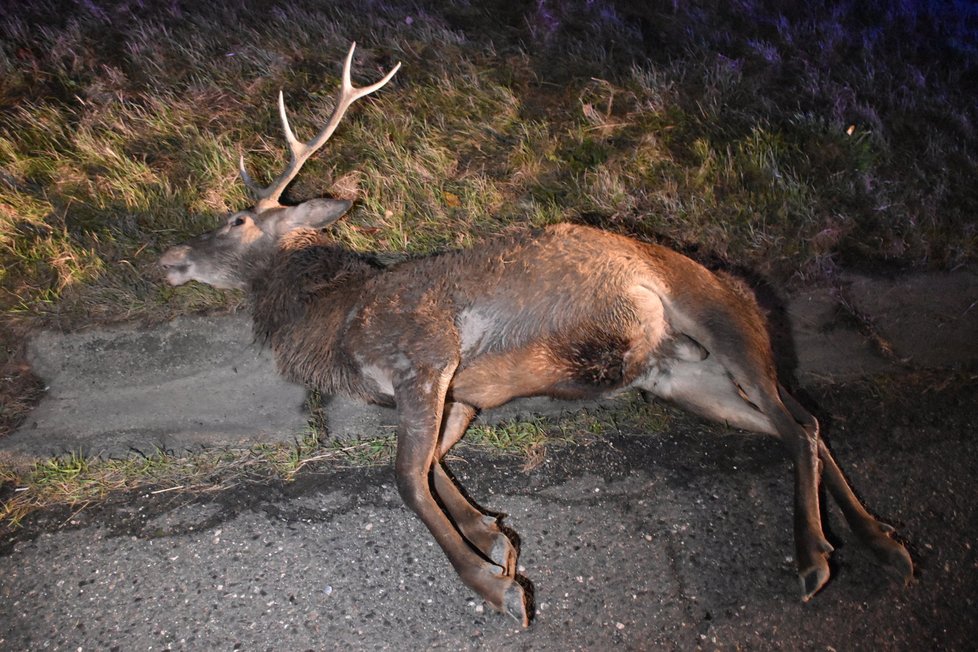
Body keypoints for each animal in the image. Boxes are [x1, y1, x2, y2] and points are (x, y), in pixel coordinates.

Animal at [160, 42, 916, 628]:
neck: (339, 324)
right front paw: (494, 535)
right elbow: (435, 465)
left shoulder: (425, 354)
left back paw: (816, 556)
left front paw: (497, 587)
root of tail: (740, 285)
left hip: (721, 317)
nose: (167, 258)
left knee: (798, 422)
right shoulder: (461, 397)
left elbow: (406, 477)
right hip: (682, 378)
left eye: (234, 220)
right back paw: (882, 541)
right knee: (802, 421)